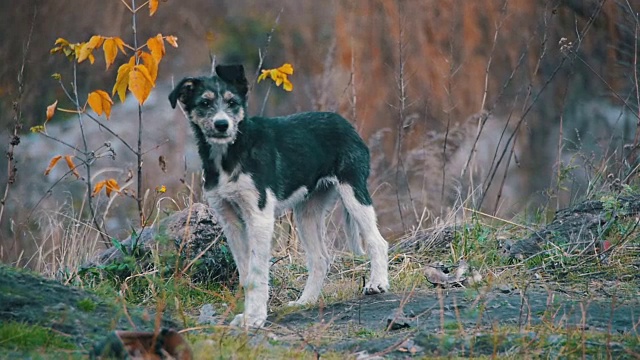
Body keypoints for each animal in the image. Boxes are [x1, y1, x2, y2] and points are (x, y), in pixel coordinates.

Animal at [169, 64, 390, 330]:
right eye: (204, 103)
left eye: (232, 102)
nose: (222, 124)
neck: (231, 154)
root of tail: (345, 123)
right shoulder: (229, 219)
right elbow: (246, 274)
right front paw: (248, 315)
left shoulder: (259, 216)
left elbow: (257, 272)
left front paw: (255, 318)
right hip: (307, 212)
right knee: (320, 259)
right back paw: (305, 301)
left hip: (353, 192)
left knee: (377, 241)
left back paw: (377, 284)